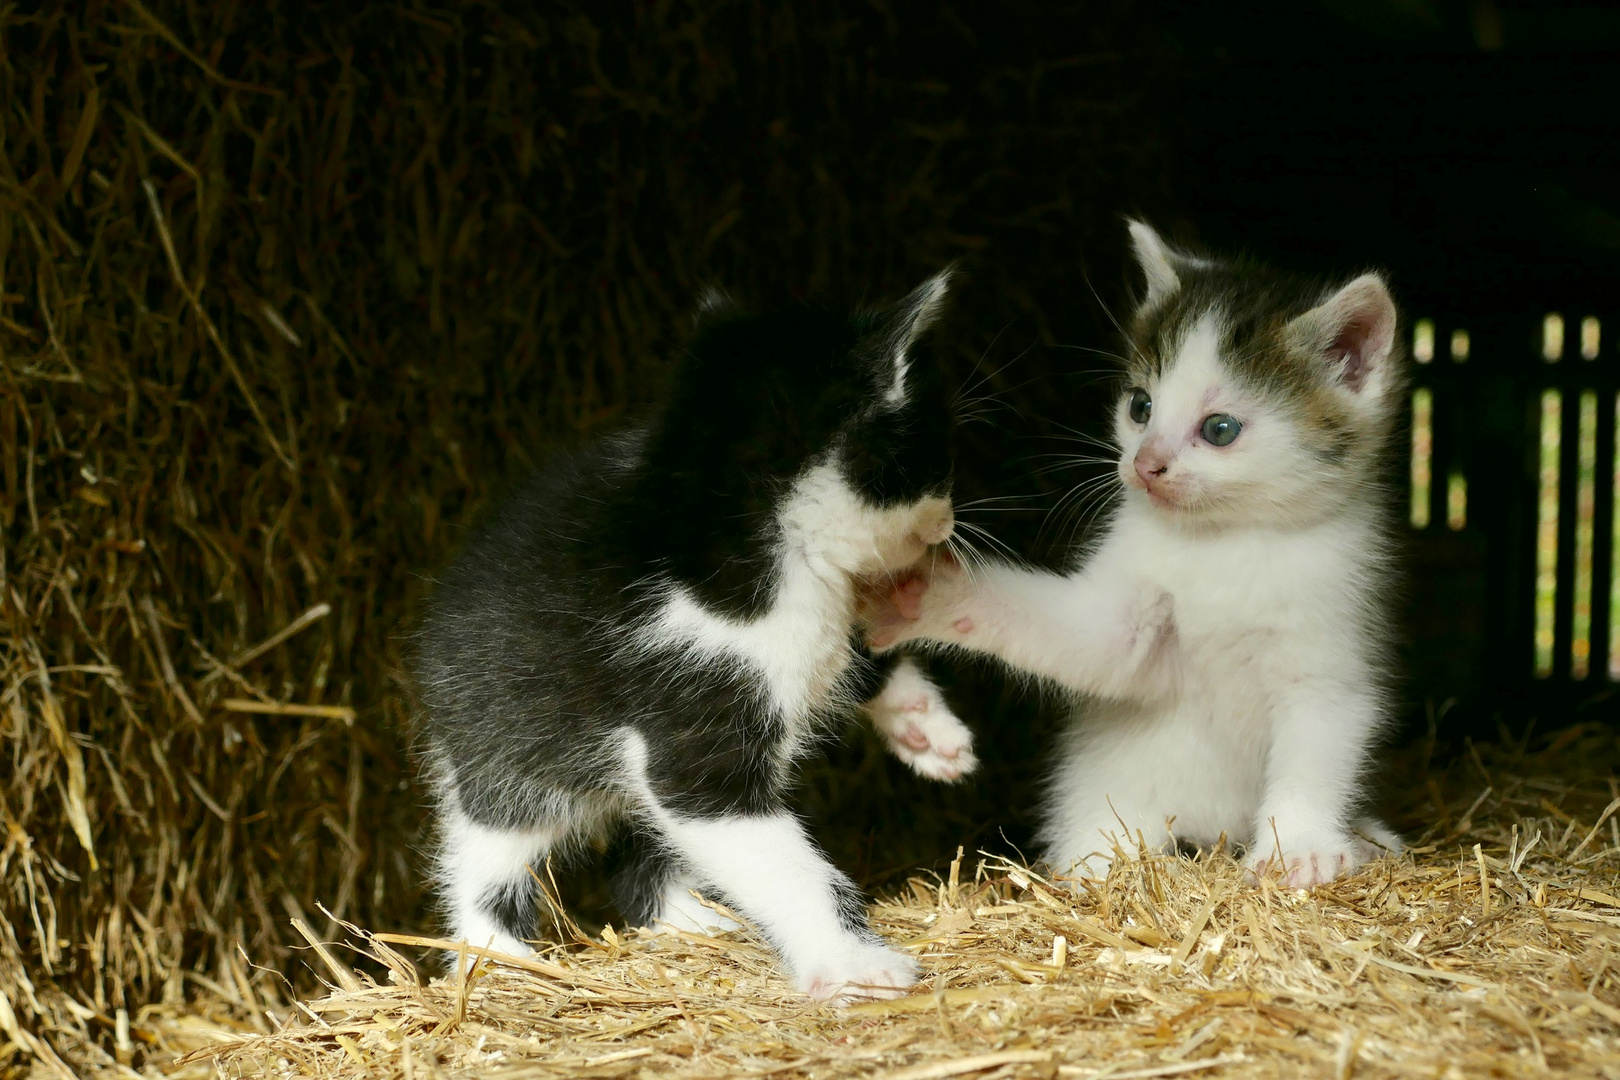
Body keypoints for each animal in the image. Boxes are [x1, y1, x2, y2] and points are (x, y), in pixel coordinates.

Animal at [411, 275, 965, 1003]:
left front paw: (924, 727)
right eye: (935, 458)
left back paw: (696, 923)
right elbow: (784, 863)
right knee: (491, 855)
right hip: (503, 745)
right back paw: (496, 959)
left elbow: (860, 655)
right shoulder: (691, 725)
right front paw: (852, 964)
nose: (949, 519)